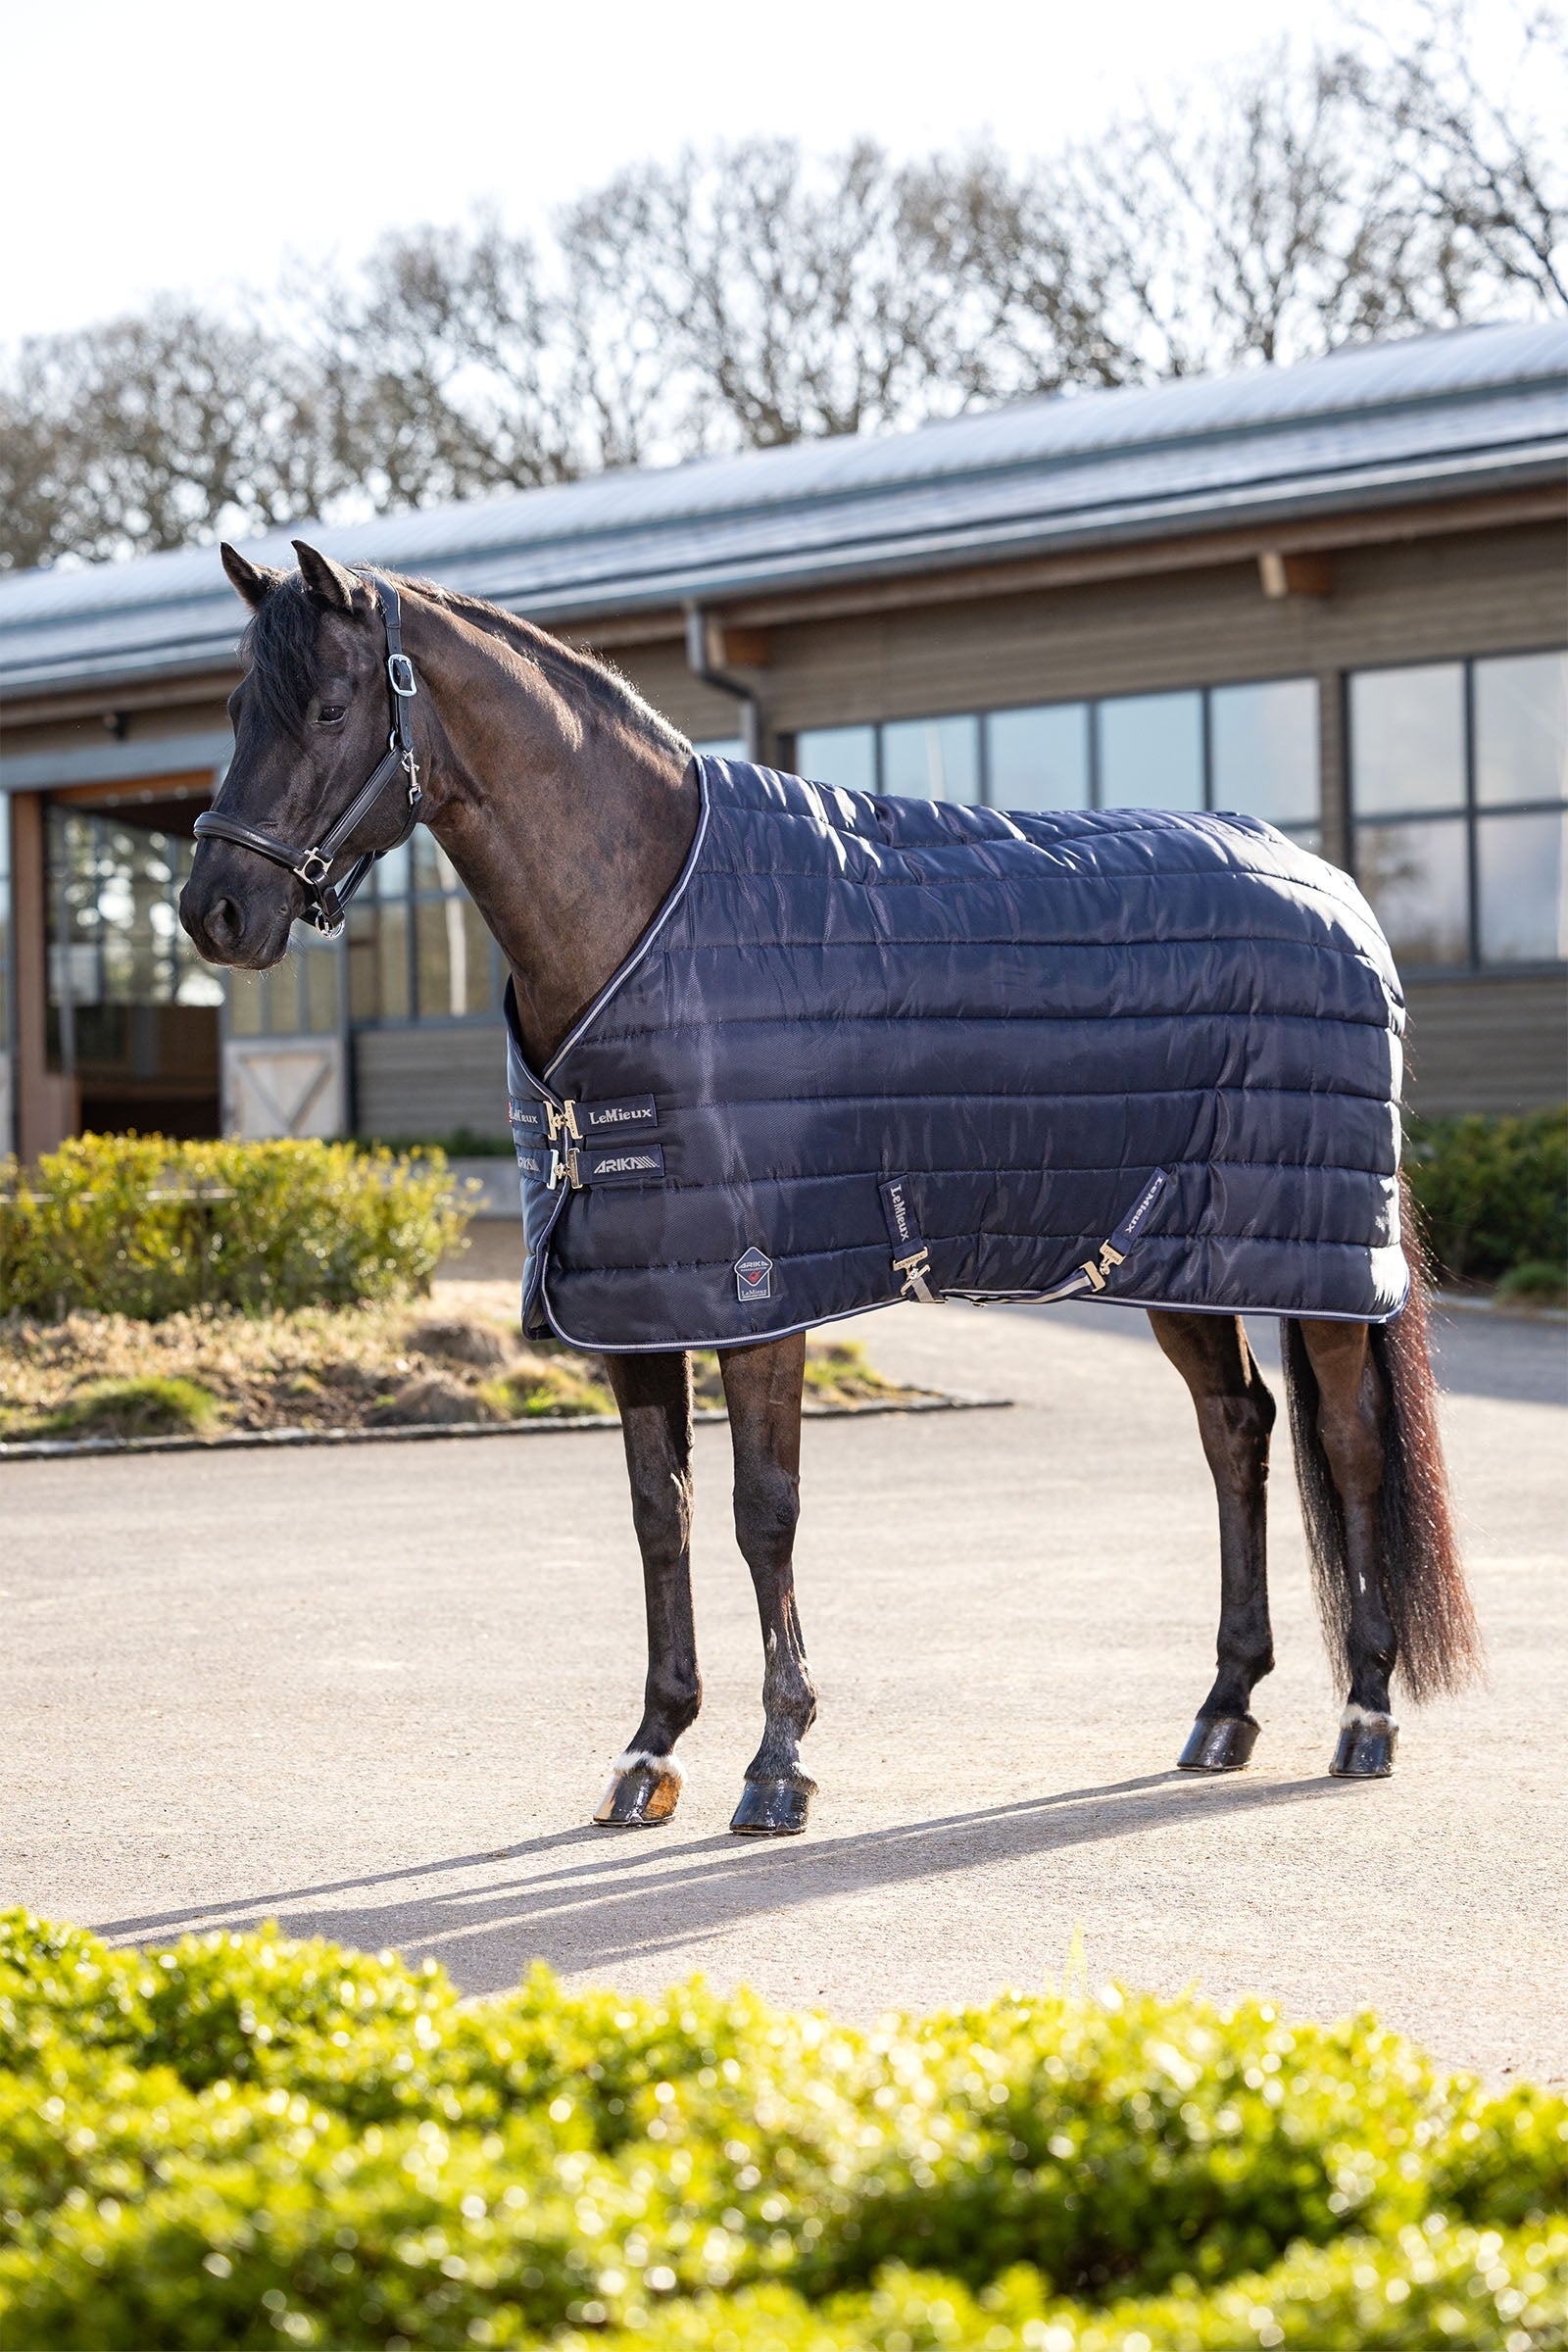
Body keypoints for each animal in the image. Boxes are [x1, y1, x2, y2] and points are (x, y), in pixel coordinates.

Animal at [180, 540, 1481, 1838]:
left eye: (330, 707)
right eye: (237, 709)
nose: (215, 913)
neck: (647, 914)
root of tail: (1333, 891)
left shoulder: (763, 1289)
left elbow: (763, 1510)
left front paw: (778, 1761)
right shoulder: (633, 1298)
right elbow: (659, 1513)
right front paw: (651, 1748)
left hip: (1319, 1267)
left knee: (1351, 1447)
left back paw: (1364, 1715)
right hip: (1176, 1255)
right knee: (1236, 1430)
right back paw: (1223, 1708)